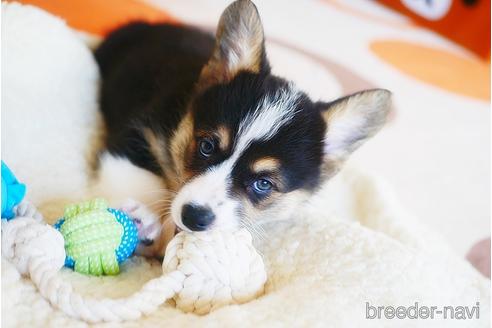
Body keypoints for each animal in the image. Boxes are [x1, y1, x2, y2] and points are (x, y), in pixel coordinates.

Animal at [94, 0, 390, 256]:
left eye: (263, 184)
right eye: (206, 146)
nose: (194, 217)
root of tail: (146, 25)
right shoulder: (140, 132)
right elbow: (141, 177)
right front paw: (143, 216)